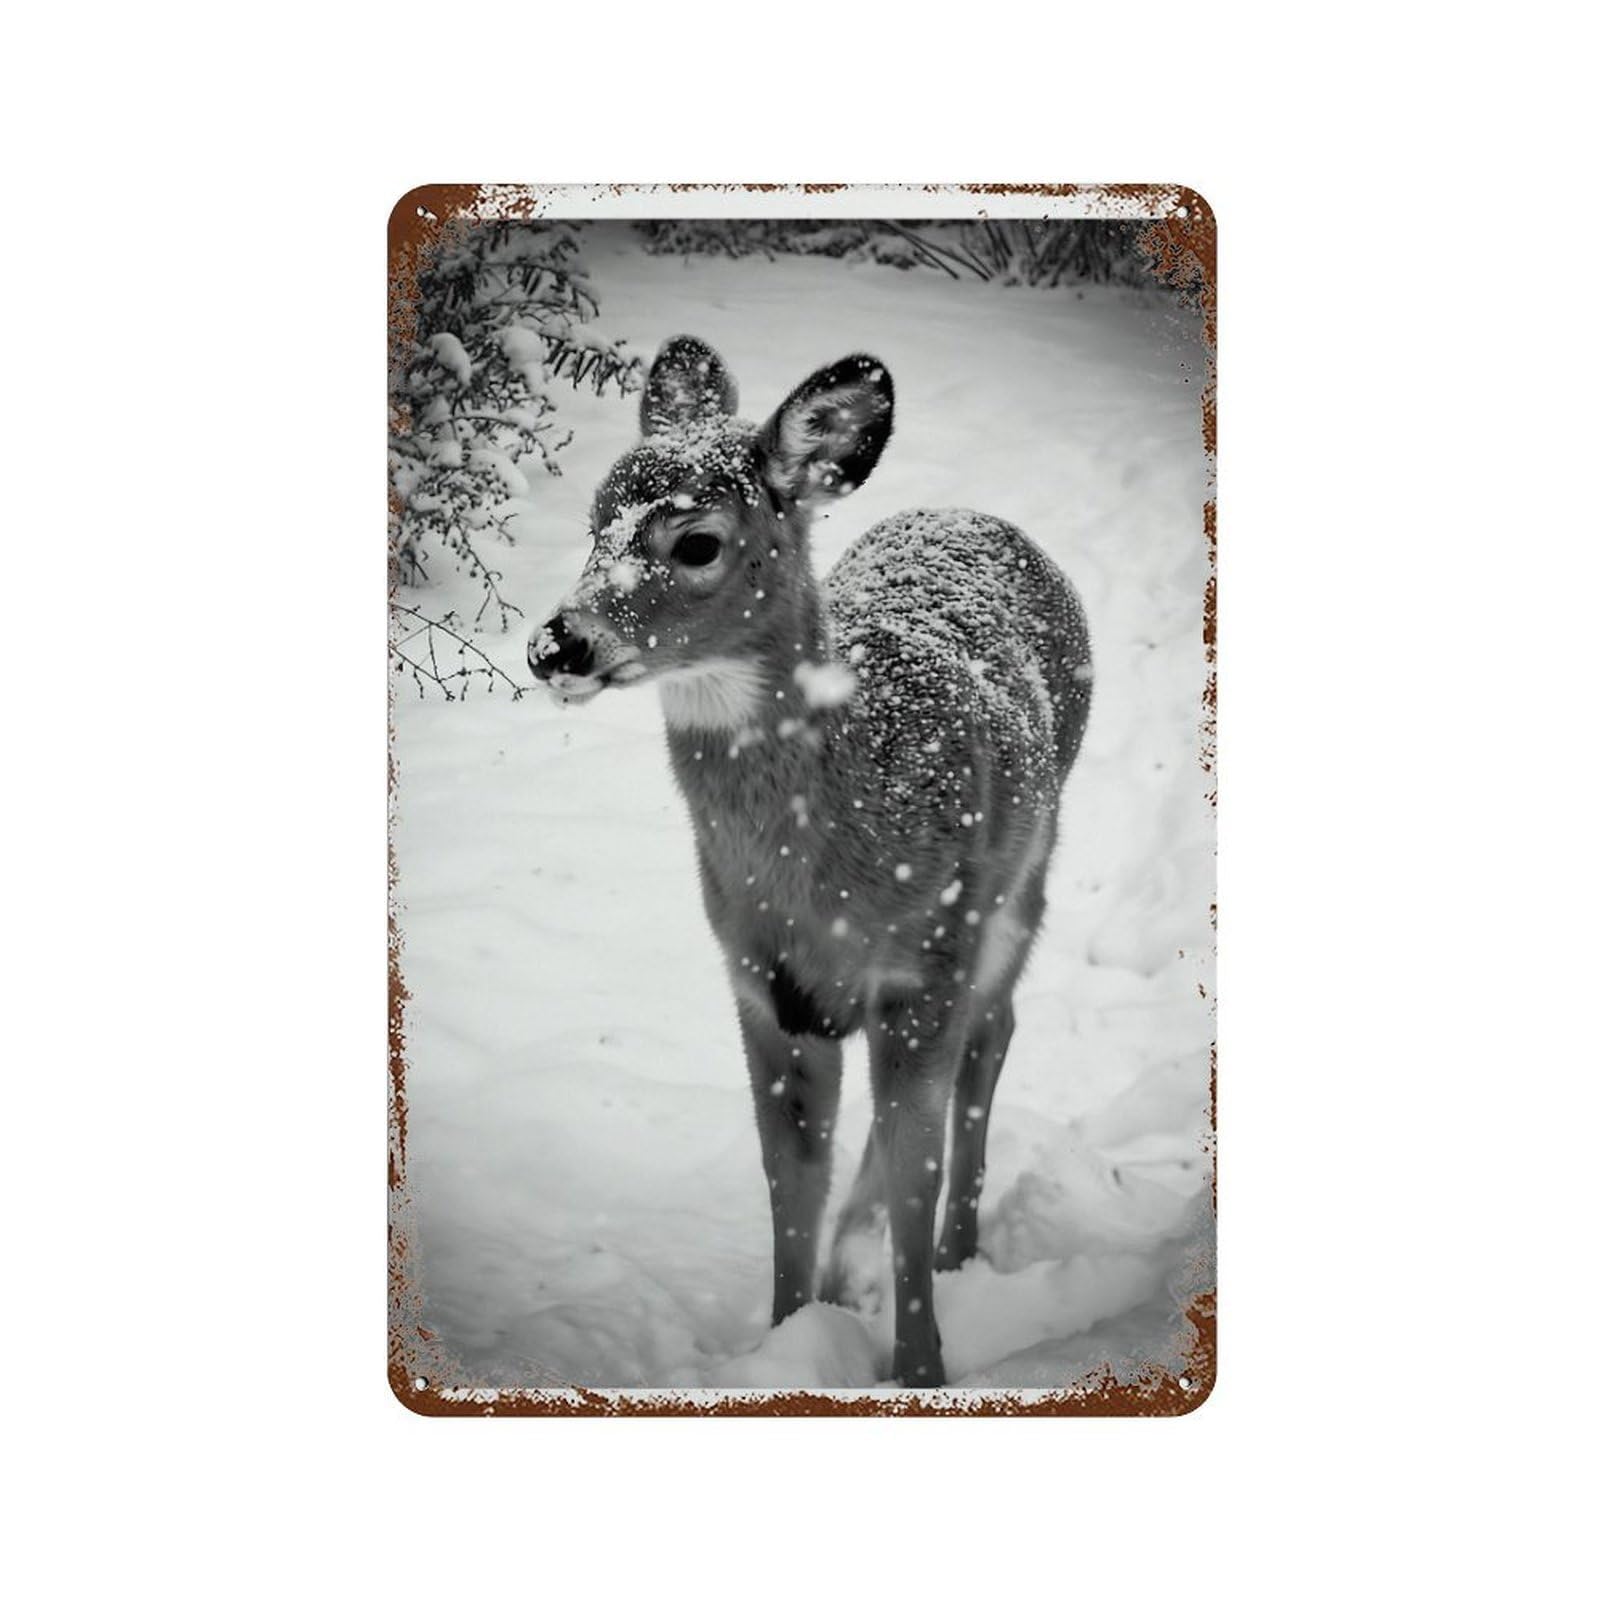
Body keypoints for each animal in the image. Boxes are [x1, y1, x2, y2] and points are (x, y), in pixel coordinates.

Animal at [529, 336, 1092, 1386]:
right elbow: (789, 1176)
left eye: (696, 542)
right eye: (594, 521)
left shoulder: (923, 967)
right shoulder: (764, 986)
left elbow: (913, 1172)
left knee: (991, 1039)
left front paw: (921, 1370)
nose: (556, 644)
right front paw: (792, 1337)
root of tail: (976, 515)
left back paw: (960, 1255)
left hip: (1019, 885)